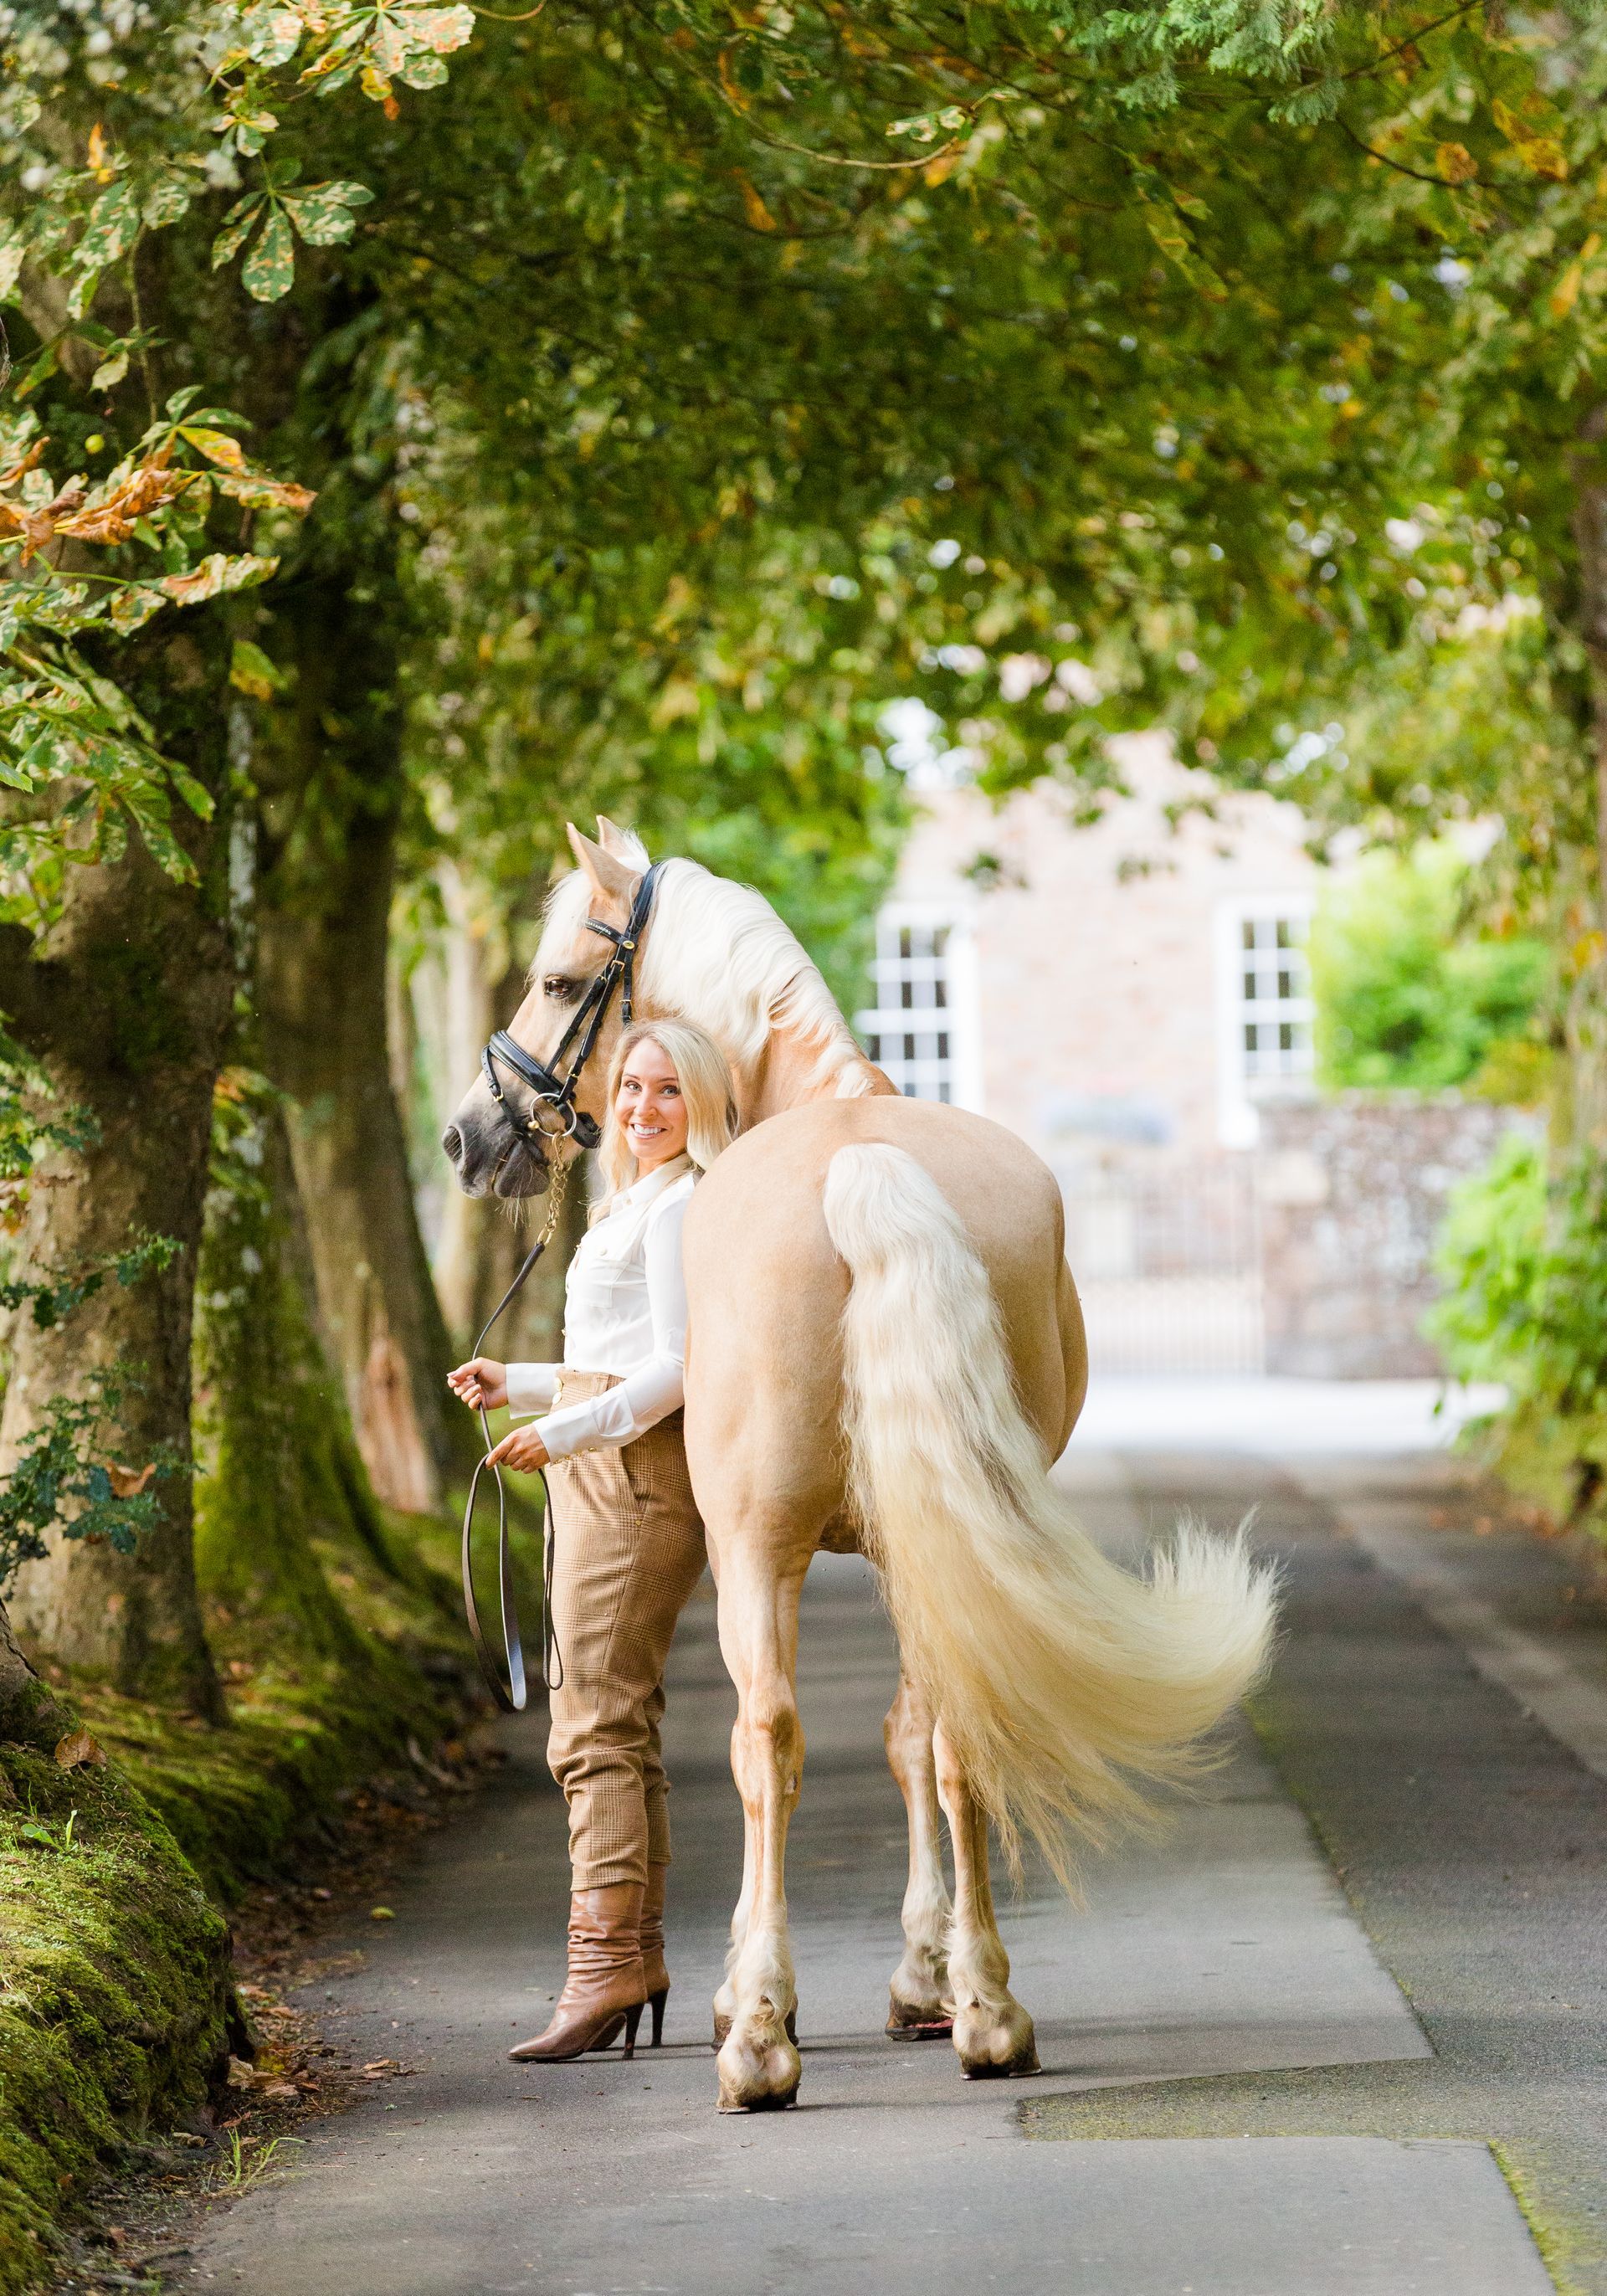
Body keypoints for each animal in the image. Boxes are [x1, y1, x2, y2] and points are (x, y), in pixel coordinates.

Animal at [442, 819, 1277, 2113]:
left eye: (559, 982)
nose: (468, 1138)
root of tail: (861, 1167)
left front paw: (776, 1992)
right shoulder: (908, 1543)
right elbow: (912, 1735)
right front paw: (931, 1978)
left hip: (753, 1549)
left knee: (765, 1738)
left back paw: (757, 2037)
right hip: (945, 1535)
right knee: (955, 1724)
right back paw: (991, 2013)